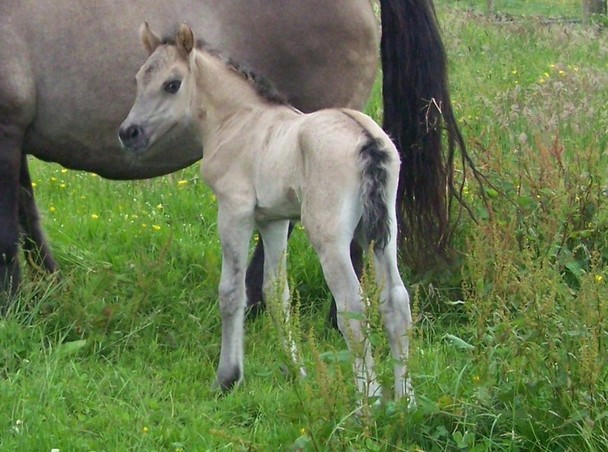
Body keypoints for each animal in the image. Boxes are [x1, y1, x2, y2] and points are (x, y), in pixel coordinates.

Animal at [2, 0, 464, 304]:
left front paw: (11, 305)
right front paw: (48, 288)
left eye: (171, 84)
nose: (129, 133)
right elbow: (27, 215)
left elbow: (7, 231)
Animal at [119, 23, 414, 400]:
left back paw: (370, 400)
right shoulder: (274, 220)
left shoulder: (235, 211)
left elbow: (232, 292)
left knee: (351, 306)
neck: (237, 121)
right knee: (396, 300)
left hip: (329, 235)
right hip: (382, 230)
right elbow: (276, 295)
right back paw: (406, 400)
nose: (129, 133)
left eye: (172, 83)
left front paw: (227, 377)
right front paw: (298, 375)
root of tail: (367, 141)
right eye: (139, 78)